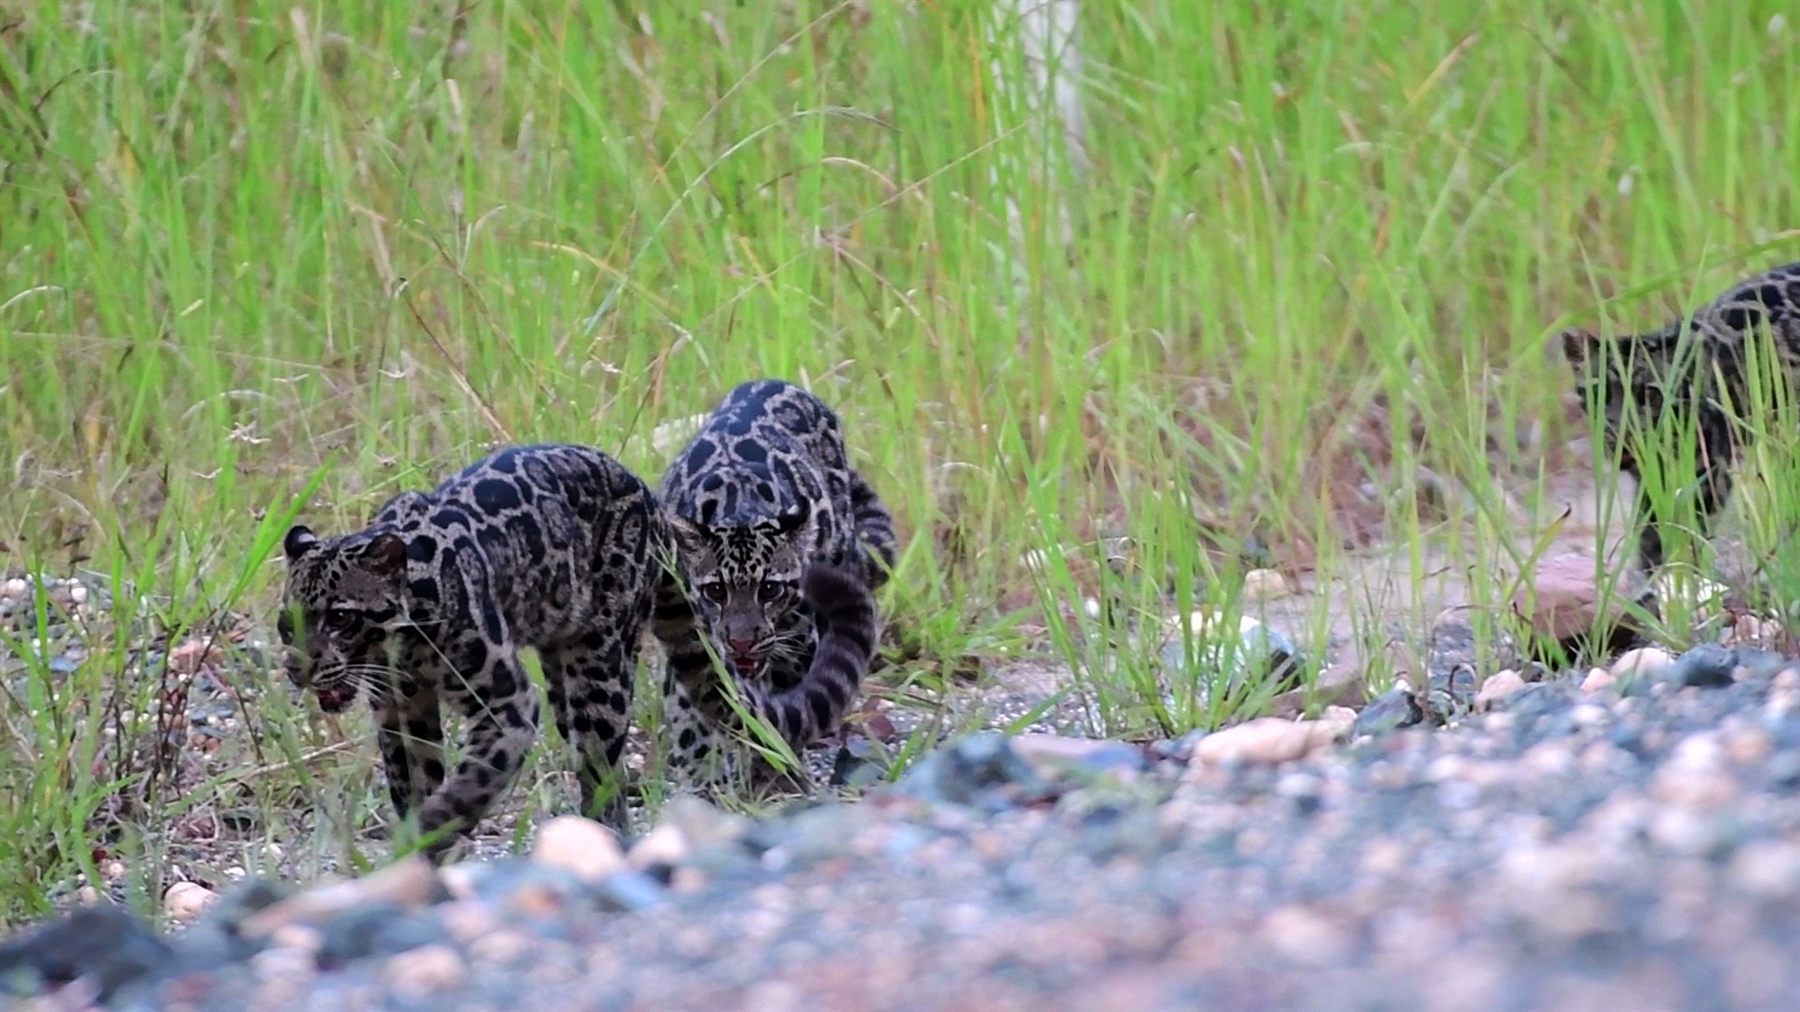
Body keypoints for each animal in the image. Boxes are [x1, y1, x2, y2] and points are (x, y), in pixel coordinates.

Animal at [277, 443, 661, 859]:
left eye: (340, 617)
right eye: (286, 626)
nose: (297, 669)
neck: (406, 647)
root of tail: (639, 484)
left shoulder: (507, 703)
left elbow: (479, 775)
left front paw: (433, 827)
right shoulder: (402, 713)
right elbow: (412, 779)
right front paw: (421, 847)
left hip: (599, 669)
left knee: (601, 766)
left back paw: (603, 833)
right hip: (563, 686)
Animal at [650, 378, 897, 786]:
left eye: (770, 589)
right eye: (715, 590)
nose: (741, 642)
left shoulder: (798, 637)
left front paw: (774, 773)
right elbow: (691, 714)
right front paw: (702, 774)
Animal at [1561, 260, 1800, 573]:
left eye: (1648, 393)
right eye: (1599, 393)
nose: (1620, 430)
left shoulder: (1709, 470)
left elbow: (1689, 532)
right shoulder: (1649, 477)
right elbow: (1651, 532)